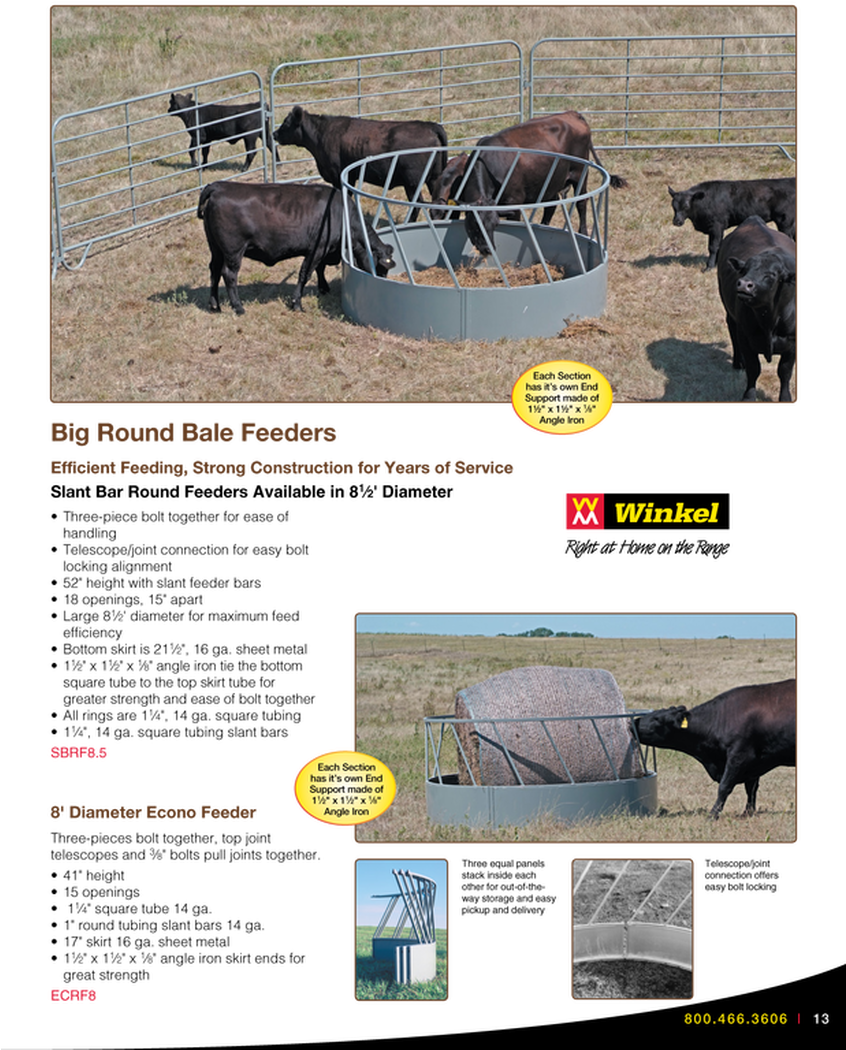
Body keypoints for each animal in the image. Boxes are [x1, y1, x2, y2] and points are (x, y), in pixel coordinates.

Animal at [196, 181, 394, 315]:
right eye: (382, 267)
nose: (383, 284)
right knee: (229, 274)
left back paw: (215, 305)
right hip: (233, 251)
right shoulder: (317, 248)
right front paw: (297, 303)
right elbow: (305, 273)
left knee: (214, 271)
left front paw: (323, 288)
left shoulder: (323, 250)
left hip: (216, 248)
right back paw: (238, 307)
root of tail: (218, 186)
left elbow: (320, 269)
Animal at [273, 106, 448, 222]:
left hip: (412, 182)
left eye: (286, 122)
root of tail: (430, 126)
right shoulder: (350, 176)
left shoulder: (337, 175)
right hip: (434, 178)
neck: (321, 134)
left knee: (417, 205)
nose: (274, 134)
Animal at [430, 111, 627, 255]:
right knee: (551, 205)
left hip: (580, 174)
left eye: (494, 225)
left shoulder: (514, 204)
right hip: (551, 183)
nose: (487, 250)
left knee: (581, 203)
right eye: (474, 225)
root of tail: (572, 114)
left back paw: (584, 232)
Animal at [634, 679, 796, 819]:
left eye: (657, 719)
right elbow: (751, 789)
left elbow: (724, 787)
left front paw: (712, 815)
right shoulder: (754, 763)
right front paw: (747, 812)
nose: (635, 722)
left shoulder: (740, 756)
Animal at [717, 215, 797, 401]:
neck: (769, 319)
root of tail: (754, 219)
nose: (744, 284)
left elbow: (785, 371)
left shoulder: (792, 342)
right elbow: (754, 369)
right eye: (744, 270)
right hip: (731, 313)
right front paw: (749, 396)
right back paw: (738, 362)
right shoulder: (746, 337)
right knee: (732, 330)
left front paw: (785, 398)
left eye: (771, 275)